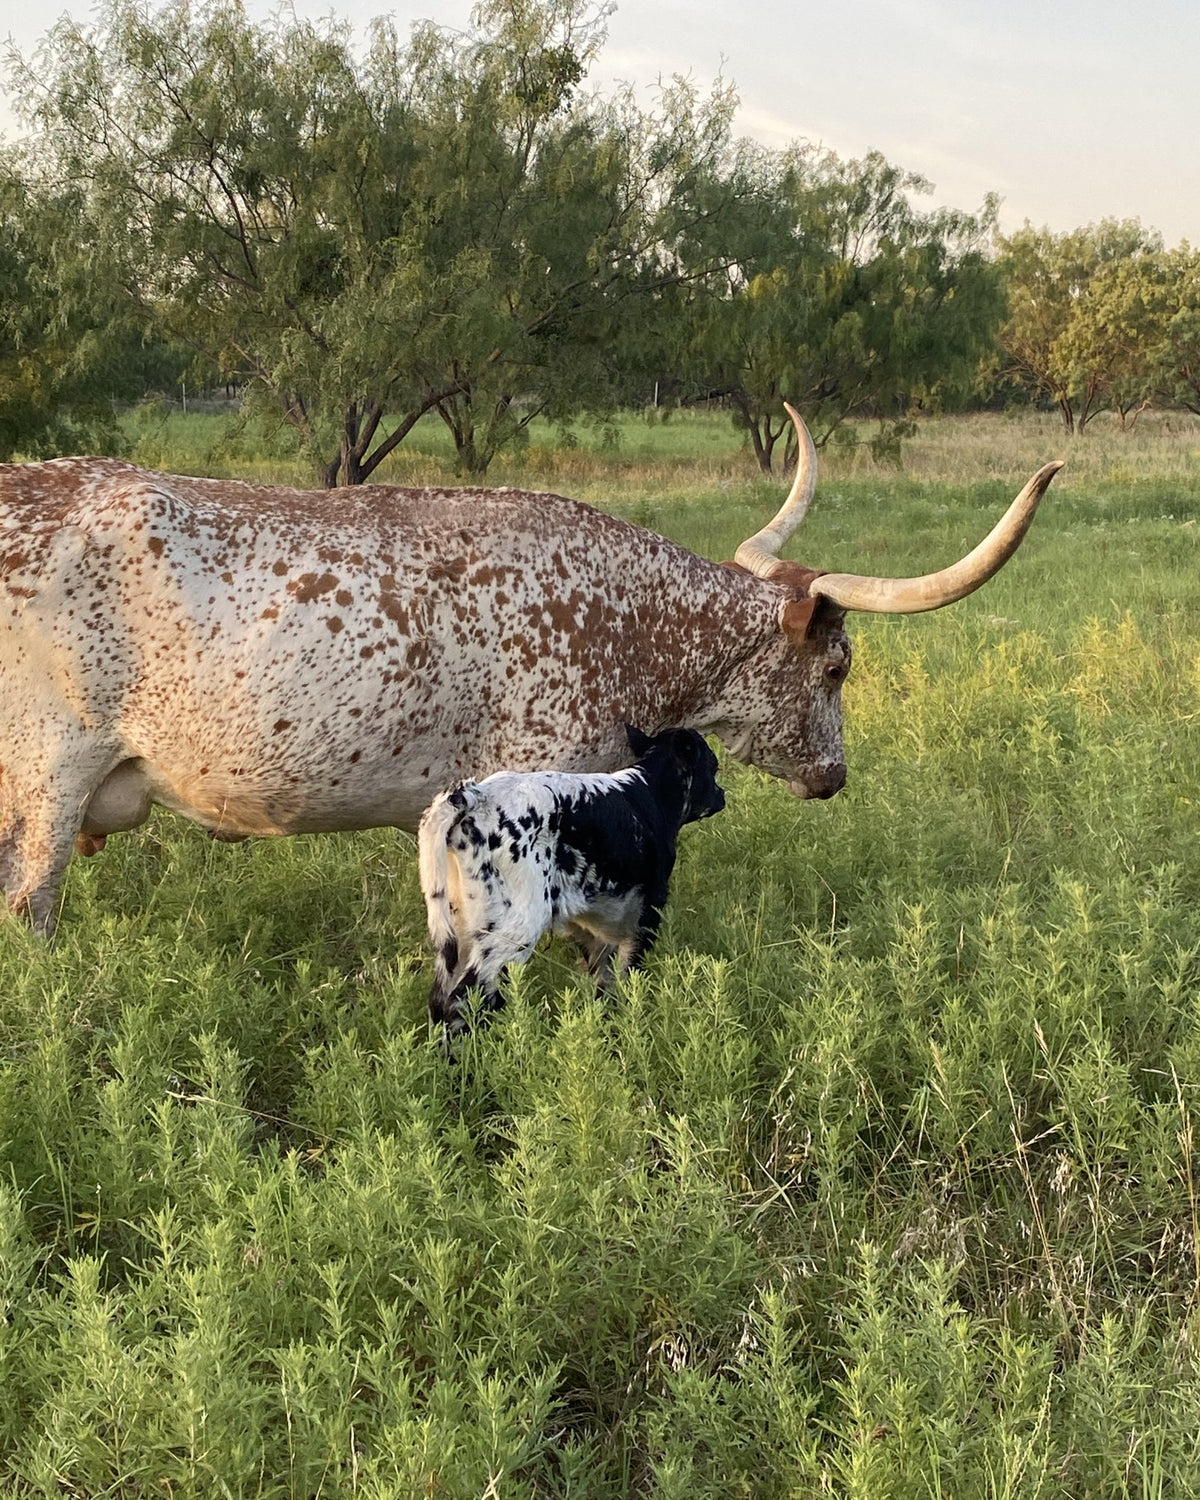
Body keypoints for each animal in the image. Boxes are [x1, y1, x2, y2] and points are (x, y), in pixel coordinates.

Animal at [418, 724, 725, 1037]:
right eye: (714, 766)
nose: (721, 794)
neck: (650, 795)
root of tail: (476, 795)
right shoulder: (647, 915)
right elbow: (628, 978)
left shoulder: (594, 925)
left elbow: (603, 983)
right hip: (514, 929)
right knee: (464, 1000)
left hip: (461, 925)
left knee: (440, 999)